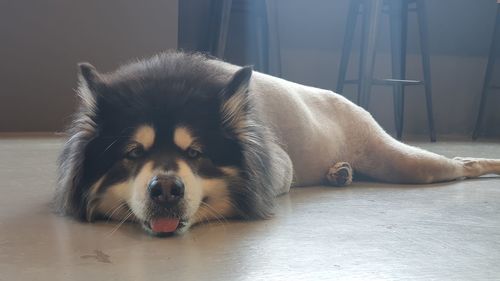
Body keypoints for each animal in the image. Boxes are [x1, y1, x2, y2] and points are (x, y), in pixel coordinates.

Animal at [54, 51, 500, 235]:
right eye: (133, 154)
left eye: (196, 153)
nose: (165, 189)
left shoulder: (279, 165)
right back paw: (339, 173)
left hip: (405, 162)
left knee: (460, 163)